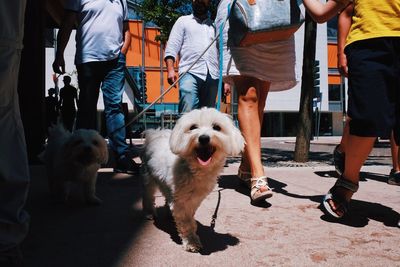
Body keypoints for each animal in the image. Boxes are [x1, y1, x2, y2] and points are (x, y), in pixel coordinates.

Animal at [142, 107, 245, 253]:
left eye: (217, 127)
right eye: (193, 127)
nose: (203, 138)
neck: (195, 170)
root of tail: (155, 135)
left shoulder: (194, 199)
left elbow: (189, 216)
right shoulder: (181, 202)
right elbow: (186, 223)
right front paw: (191, 241)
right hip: (148, 177)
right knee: (148, 195)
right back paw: (149, 212)